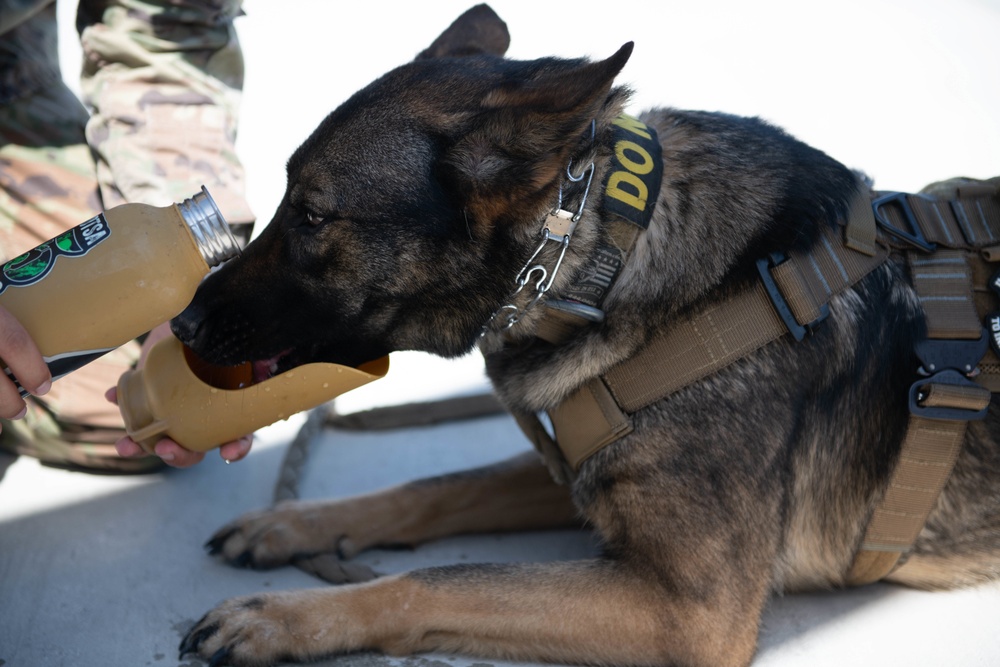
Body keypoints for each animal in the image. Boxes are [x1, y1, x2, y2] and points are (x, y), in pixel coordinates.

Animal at [174, 5, 1000, 667]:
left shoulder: (683, 610)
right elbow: (436, 486)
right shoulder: (571, 465)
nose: (180, 323)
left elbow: (439, 580)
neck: (604, 255)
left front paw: (283, 616)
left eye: (312, 215)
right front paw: (298, 522)